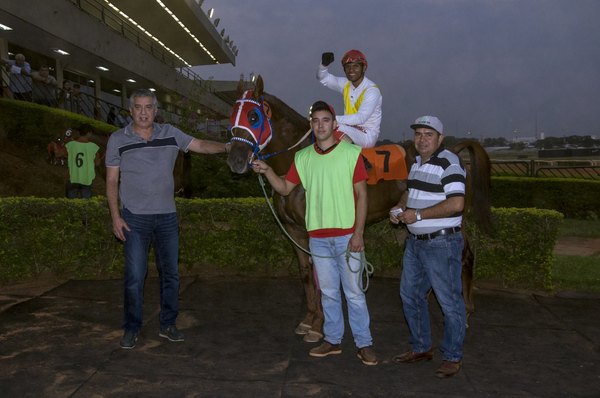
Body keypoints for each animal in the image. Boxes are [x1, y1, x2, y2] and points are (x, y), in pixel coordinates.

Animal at [227, 75, 490, 342]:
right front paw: (308, 319)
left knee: (465, 256)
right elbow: (305, 273)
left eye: (253, 117)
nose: (235, 160)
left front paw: (318, 325)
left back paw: (466, 312)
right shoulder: (293, 230)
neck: (297, 165)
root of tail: (453, 151)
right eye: (232, 115)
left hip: (454, 217)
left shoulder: (314, 231)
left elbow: (320, 277)